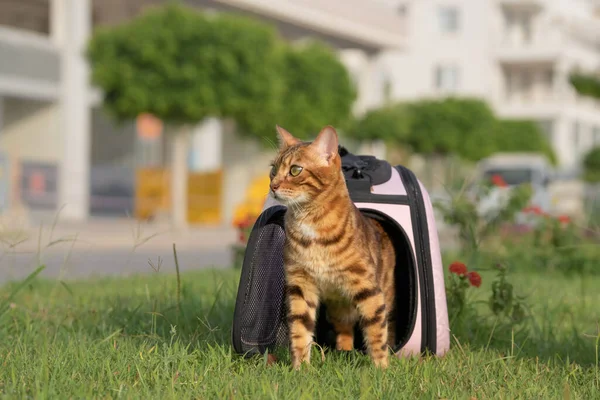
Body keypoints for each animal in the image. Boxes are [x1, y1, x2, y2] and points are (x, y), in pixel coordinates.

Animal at [270, 125, 396, 368]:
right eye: (273, 169)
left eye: (295, 170)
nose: (272, 186)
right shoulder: (300, 284)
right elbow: (300, 329)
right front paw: (300, 367)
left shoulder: (368, 287)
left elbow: (376, 330)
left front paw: (381, 368)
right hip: (338, 307)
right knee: (345, 330)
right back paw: (343, 350)